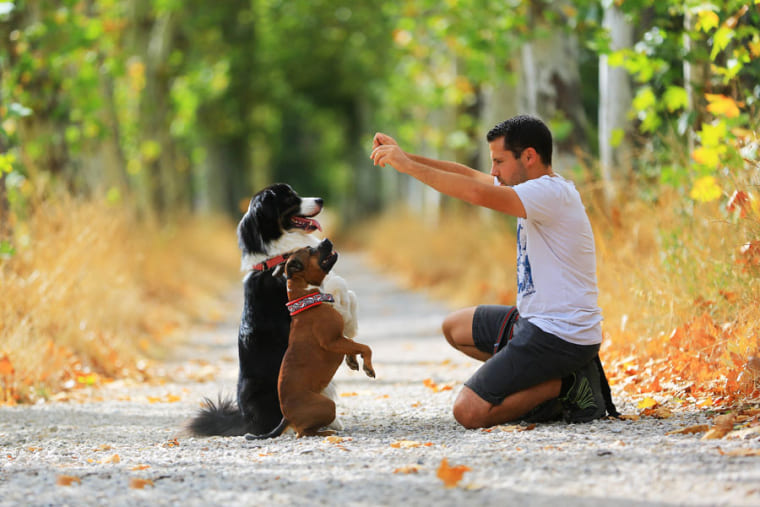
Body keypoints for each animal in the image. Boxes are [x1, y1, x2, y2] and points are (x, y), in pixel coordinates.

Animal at [189, 185, 358, 438]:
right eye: (289, 198)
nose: (320, 199)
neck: (278, 258)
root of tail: (244, 419)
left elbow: (348, 296)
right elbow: (340, 294)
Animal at [246, 239, 374, 440]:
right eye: (312, 251)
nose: (326, 240)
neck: (308, 299)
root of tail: (286, 417)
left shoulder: (339, 339)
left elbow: (353, 345)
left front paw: (353, 360)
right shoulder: (332, 341)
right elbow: (365, 347)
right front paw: (368, 367)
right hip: (328, 405)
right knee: (304, 433)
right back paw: (327, 431)